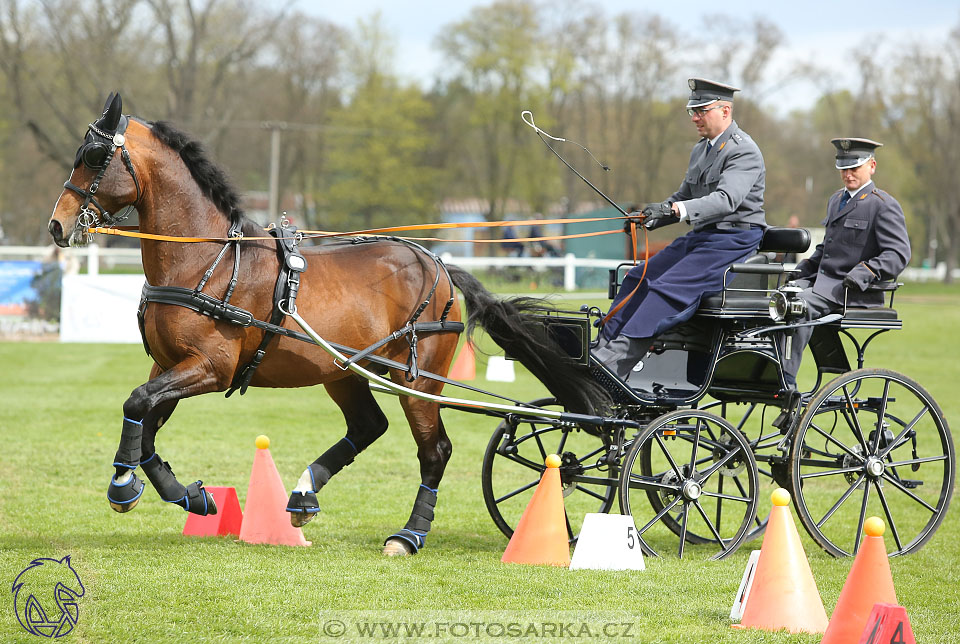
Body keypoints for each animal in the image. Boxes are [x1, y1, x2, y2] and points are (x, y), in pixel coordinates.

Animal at [47, 93, 608, 556]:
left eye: (92, 156)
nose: (57, 224)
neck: (206, 260)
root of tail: (440, 264)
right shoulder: (169, 365)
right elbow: (144, 424)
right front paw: (187, 495)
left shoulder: (210, 367)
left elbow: (137, 406)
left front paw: (124, 488)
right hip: (344, 370)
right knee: (369, 426)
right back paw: (302, 493)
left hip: (417, 377)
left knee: (435, 451)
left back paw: (409, 535)